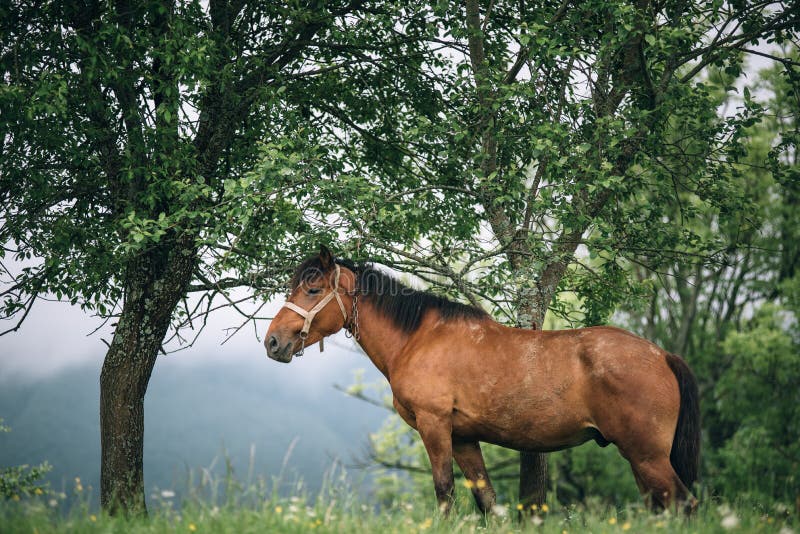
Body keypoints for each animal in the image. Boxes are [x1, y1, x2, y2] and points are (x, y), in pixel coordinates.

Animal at [265, 245, 700, 515]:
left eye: (312, 289)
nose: (273, 341)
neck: (419, 337)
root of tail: (661, 355)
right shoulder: (463, 438)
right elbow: (487, 500)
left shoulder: (435, 426)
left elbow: (444, 492)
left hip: (646, 456)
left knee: (683, 504)